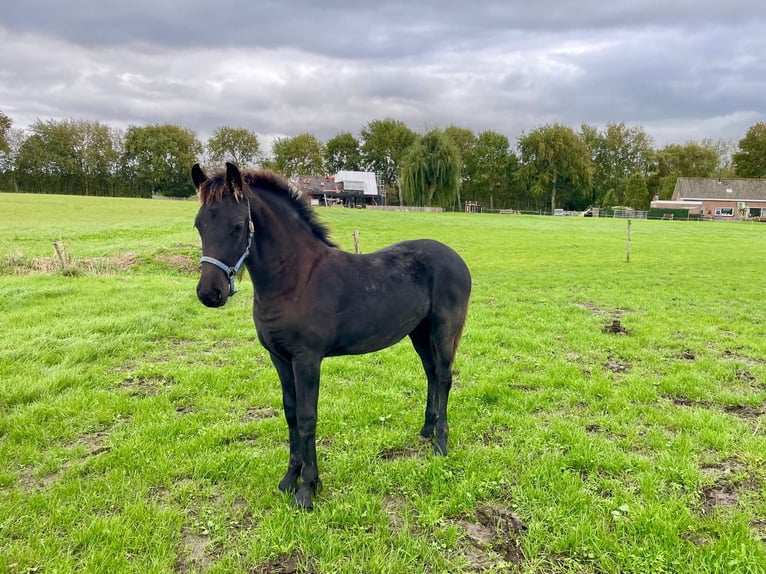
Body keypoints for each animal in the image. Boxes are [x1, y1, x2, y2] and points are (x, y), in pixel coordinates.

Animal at [192, 162, 471, 510]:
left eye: (238, 225)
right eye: (199, 224)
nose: (209, 293)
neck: (296, 278)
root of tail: (456, 258)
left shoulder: (307, 360)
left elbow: (307, 417)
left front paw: (307, 489)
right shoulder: (279, 358)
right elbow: (291, 414)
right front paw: (289, 479)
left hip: (444, 330)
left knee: (444, 377)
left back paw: (441, 443)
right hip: (418, 333)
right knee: (432, 374)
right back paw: (426, 430)